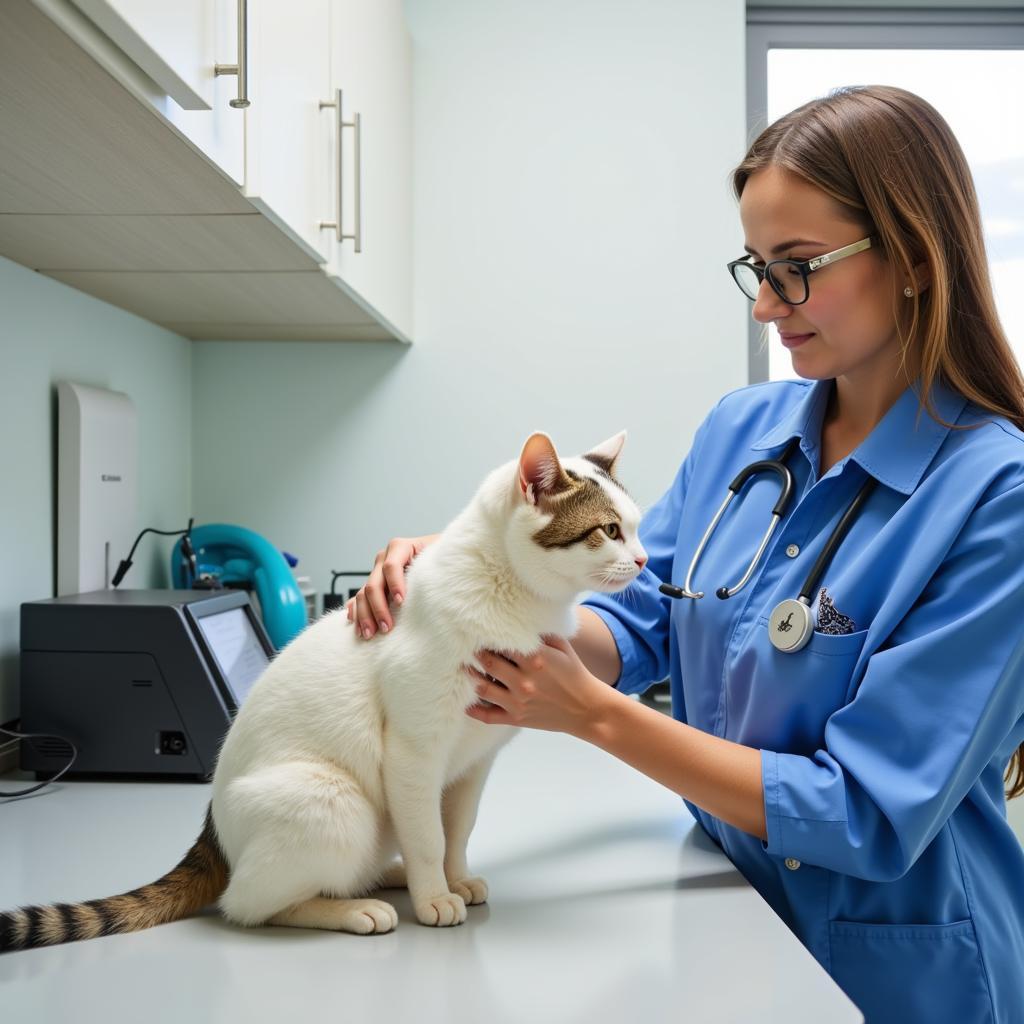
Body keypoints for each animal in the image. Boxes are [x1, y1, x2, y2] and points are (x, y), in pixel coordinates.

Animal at [0, 428, 643, 946]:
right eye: (608, 531)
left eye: (636, 528)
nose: (641, 560)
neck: (512, 599)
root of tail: (215, 831)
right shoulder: (414, 752)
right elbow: (429, 837)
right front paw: (436, 895)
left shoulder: (474, 760)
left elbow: (455, 829)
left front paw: (453, 878)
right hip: (335, 799)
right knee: (246, 904)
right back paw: (357, 907)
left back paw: (385, 876)